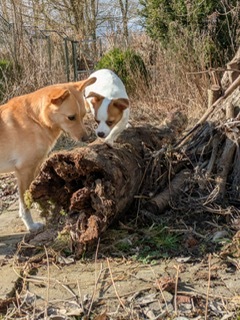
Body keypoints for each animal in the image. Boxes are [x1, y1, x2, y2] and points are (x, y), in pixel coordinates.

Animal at [0, 77, 95, 232]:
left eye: (83, 115)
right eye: (71, 117)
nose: (87, 138)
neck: (35, 119)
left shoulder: (35, 167)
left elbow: (33, 193)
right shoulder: (24, 171)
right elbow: (24, 205)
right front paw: (31, 225)